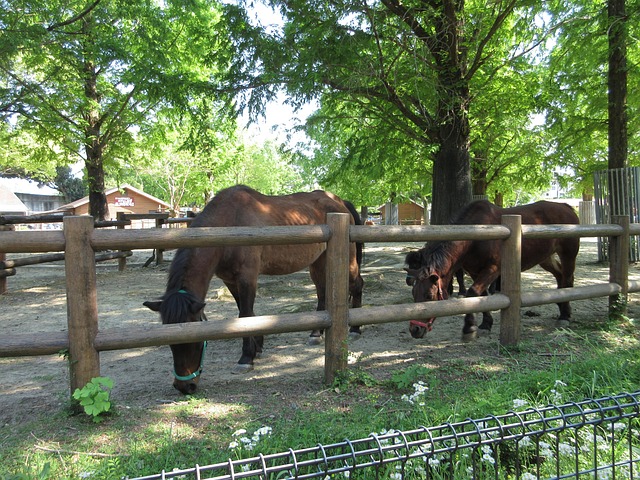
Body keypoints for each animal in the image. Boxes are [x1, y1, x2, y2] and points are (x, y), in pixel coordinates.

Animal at [144, 185, 364, 394]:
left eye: (197, 341)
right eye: (170, 344)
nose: (184, 386)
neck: (229, 224)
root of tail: (340, 202)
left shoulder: (247, 278)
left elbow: (245, 315)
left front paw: (246, 358)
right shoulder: (231, 281)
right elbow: (245, 314)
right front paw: (257, 346)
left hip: (347, 260)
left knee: (357, 285)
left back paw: (355, 329)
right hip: (318, 262)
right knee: (322, 294)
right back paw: (315, 334)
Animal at [404, 200, 579, 339]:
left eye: (429, 295)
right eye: (414, 293)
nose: (415, 330)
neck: (475, 234)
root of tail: (566, 207)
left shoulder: (493, 269)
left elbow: (472, 293)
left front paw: (469, 328)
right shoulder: (475, 272)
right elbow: (482, 296)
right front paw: (485, 324)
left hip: (568, 254)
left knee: (567, 279)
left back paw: (565, 314)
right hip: (545, 258)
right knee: (560, 276)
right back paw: (560, 305)